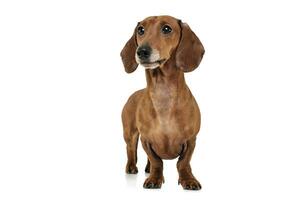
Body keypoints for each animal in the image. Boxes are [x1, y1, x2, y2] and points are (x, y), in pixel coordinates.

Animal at [119, 14, 204, 190]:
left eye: (166, 29)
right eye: (141, 30)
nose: (142, 51)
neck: (163, 94)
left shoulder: (191, 140)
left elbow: (183, 163)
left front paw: (188, 179)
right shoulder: (146, 140)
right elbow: (157, 161)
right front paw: (154, 179)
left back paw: (147, 169)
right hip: (129, 134)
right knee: (130, 150)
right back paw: (132, 168)